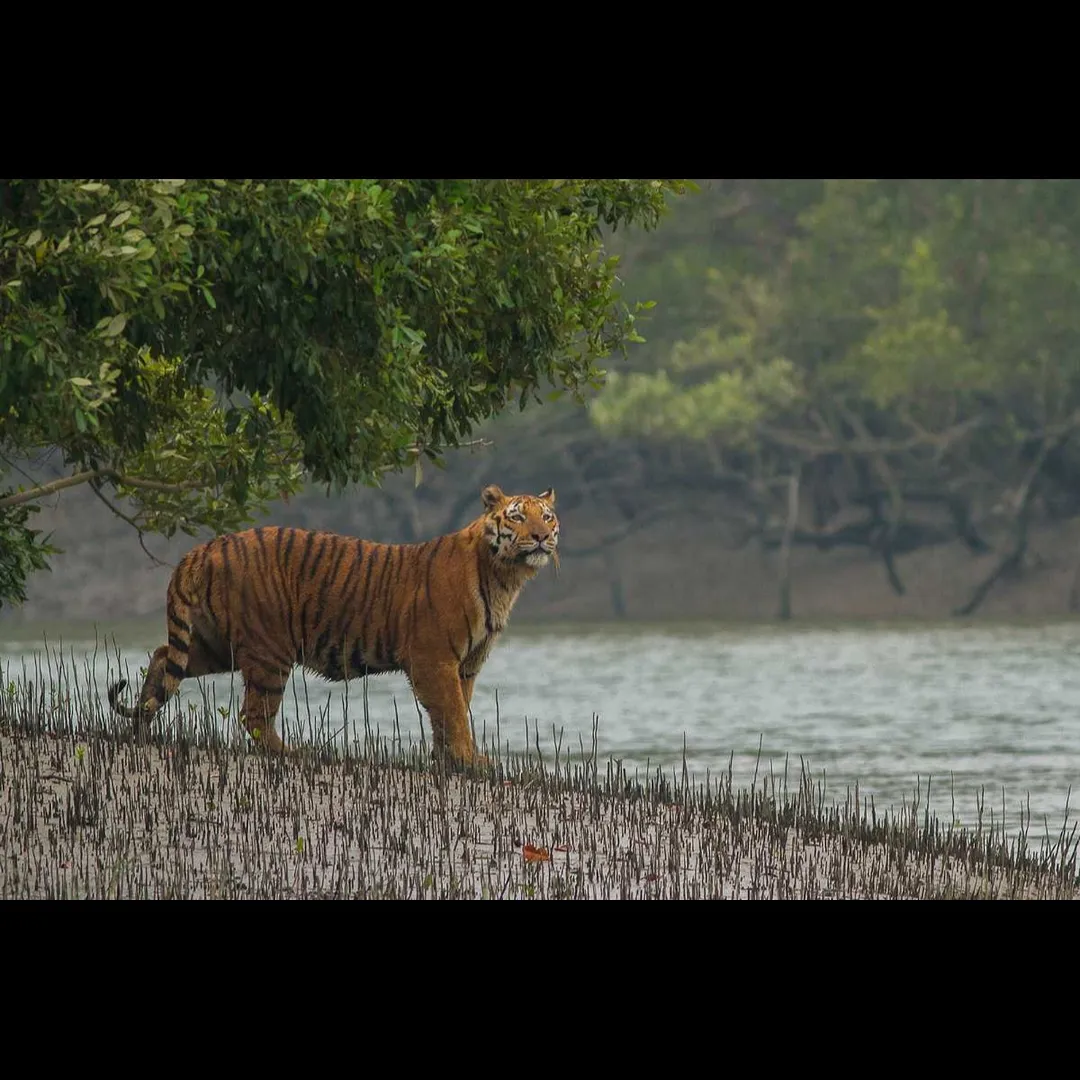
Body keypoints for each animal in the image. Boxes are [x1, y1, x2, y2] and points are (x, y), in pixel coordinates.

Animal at [107, 484, 559, 766]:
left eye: (548, 517)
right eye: (517, 518)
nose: (541, 536)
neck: (505, 576)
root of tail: (204, 548)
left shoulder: (466, 664)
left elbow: (453, 711)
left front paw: (450, 758)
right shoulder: (434, 658)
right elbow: (452, 711)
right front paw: (469, 760)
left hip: (216, 644)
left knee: (163, 658)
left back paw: (140, 728)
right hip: (269, 650)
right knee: (253, 715)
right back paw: (290, 753)